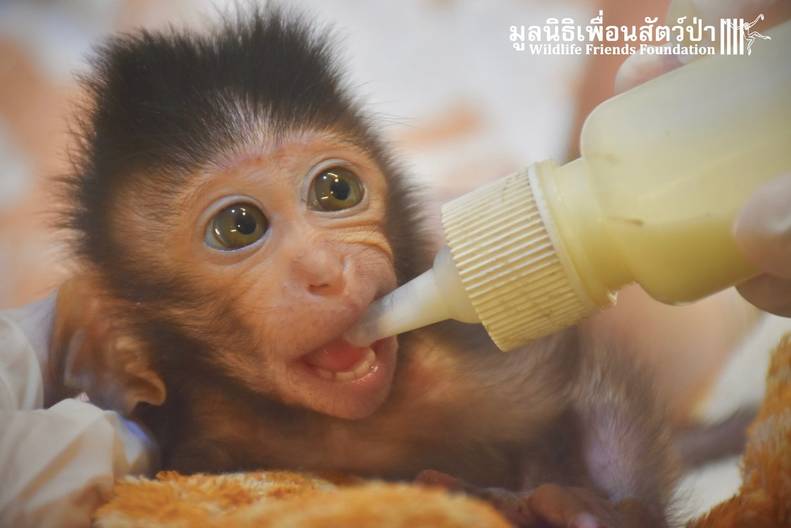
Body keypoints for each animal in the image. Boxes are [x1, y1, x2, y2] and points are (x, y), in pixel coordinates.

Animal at [62, 8, 680, 528]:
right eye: (239, 226)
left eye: (336, 190)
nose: (328, 270)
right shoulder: (202, 440)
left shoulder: (481, 368)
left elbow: (593, 401)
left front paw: (589, 509)